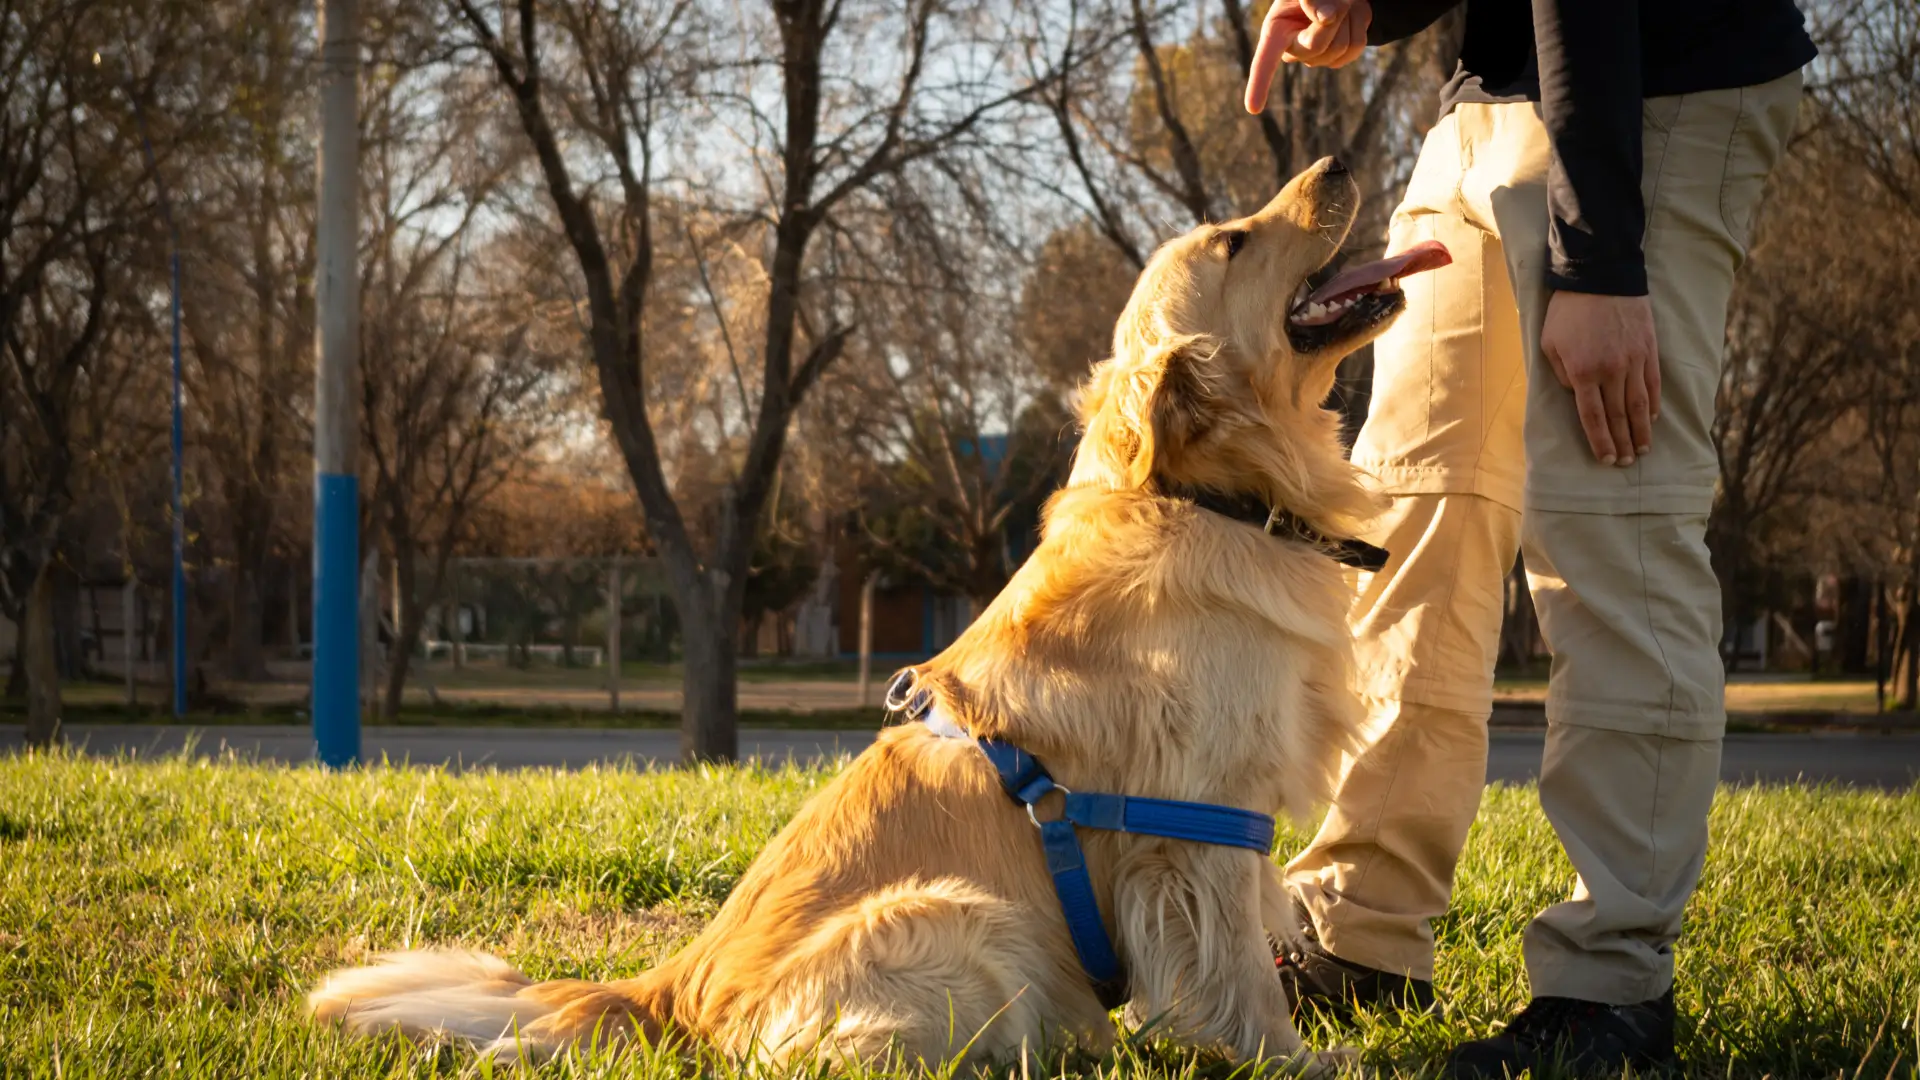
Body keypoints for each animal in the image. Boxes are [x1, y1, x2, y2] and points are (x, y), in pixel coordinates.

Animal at [311, 157, 1451, 1068]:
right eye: (1235, 240)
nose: (1339, 163)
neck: (1208, 496)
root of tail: (671, 990)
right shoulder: (1200, 822)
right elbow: (1235, 971)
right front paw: (1292, 1060)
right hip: (963, 922)